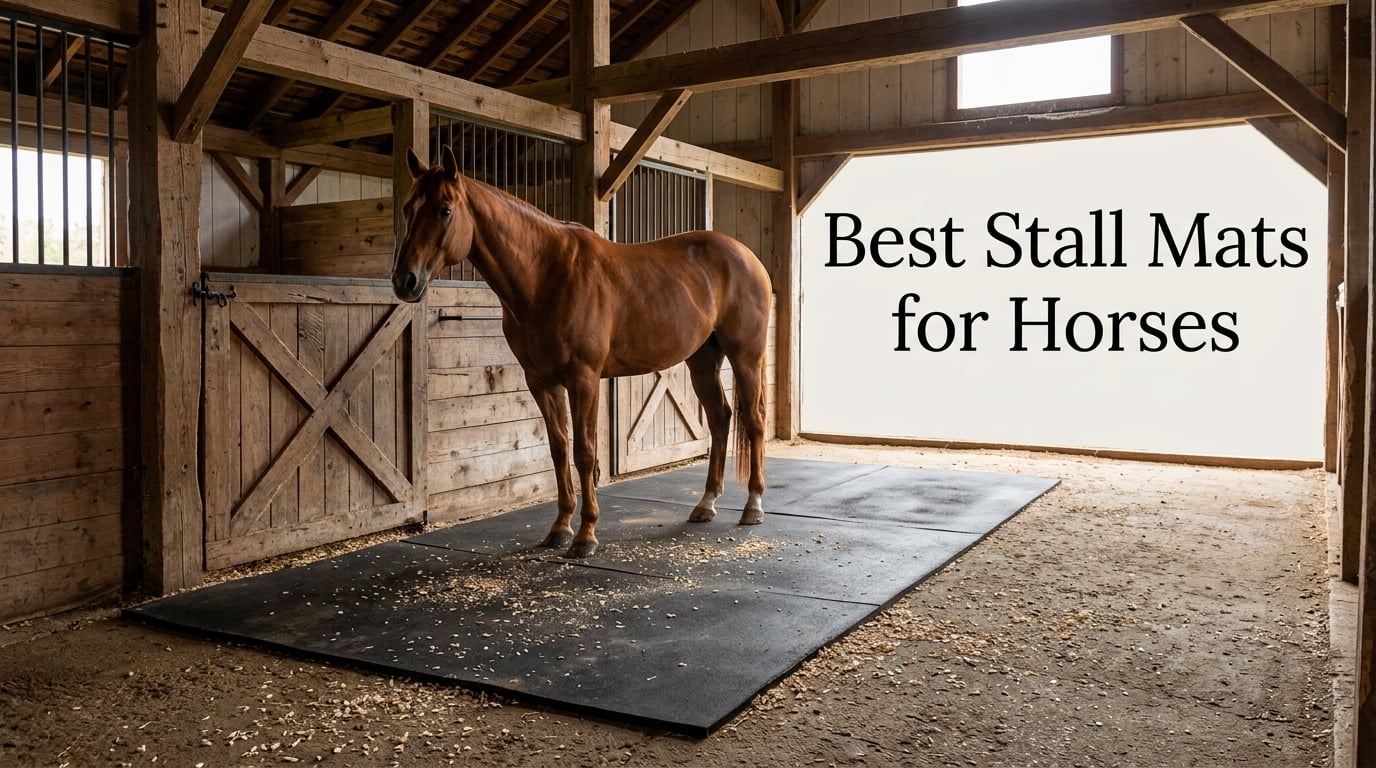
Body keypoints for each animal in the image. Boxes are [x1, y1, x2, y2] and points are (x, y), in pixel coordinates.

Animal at [391, 146, 772, 559]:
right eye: (408, 207)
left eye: (445, 210)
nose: (404, 281)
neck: (547, 274)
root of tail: (748, 257)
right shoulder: (541, 381)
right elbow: (559, 449)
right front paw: (559, 528)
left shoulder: (584, 379)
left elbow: (585, 452)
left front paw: (586, 535)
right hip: (702, 360)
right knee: (720, 419)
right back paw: (706, 503)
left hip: (745, 357)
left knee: (754, 420)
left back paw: (753, 506)